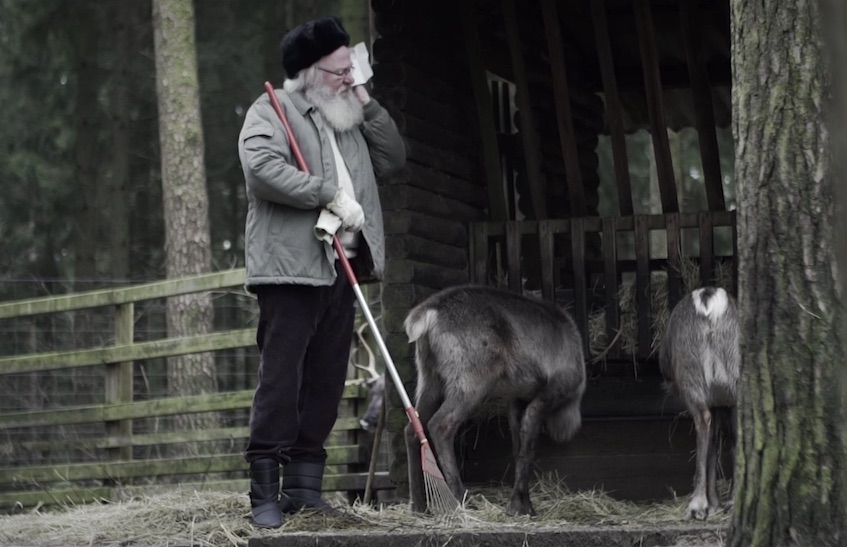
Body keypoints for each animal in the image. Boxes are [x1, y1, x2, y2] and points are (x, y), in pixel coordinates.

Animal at [400, 286, 588, 520]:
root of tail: (429, 312)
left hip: (430, 380)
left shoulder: (517, 399)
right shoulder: (548, 393)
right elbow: (528, 448)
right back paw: (463, 498)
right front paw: (521, 507)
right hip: (473, 382)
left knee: (411, 428)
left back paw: (419, 506)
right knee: (440, 425)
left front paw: (519, 503)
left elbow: (518, 447)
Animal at [660, 286, 740, 524]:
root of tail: (710, 305)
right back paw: (732, 501)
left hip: (692, 379)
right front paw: (717, 503)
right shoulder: (721, 403)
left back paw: (697, 506)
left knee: (703, 422)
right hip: (735, 381)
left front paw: (710, 504)